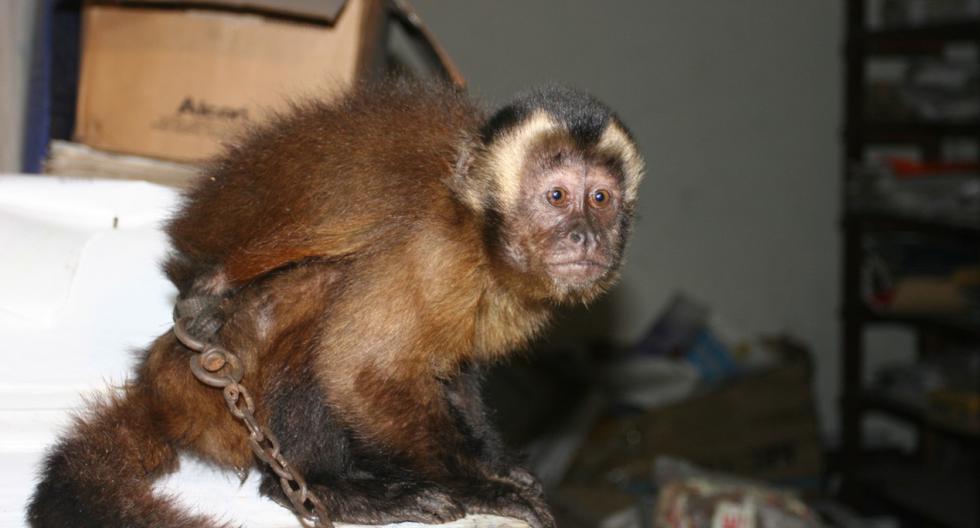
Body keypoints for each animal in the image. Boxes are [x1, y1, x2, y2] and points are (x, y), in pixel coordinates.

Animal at [26, 78, 644, 528]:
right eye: (557, 197)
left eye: (600, 199)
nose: (585, 237)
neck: (480, 233)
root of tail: (159, 382)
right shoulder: (431, 251)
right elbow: (360, 369)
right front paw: (474, 486)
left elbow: (452, 370)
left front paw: (491, 462)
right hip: (218, 392)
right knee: (323, 294)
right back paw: (323, 488)